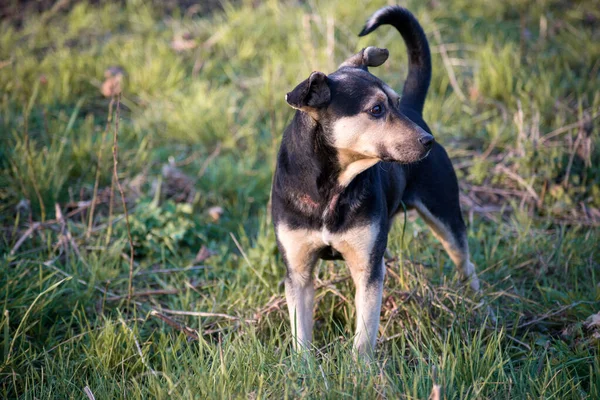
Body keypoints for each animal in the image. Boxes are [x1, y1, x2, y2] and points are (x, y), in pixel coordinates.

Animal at [270, 5, 480, 356]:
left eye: (394, 102)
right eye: (376, 109)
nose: (428, 141)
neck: (331, 187)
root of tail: (418, 112)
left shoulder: (368, 269)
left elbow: (364, 335)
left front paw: (361, 369)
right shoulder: (298, 271)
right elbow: (301, 335)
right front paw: (303, 367)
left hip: (445, 213)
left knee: (465, 261)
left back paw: (479, 305)